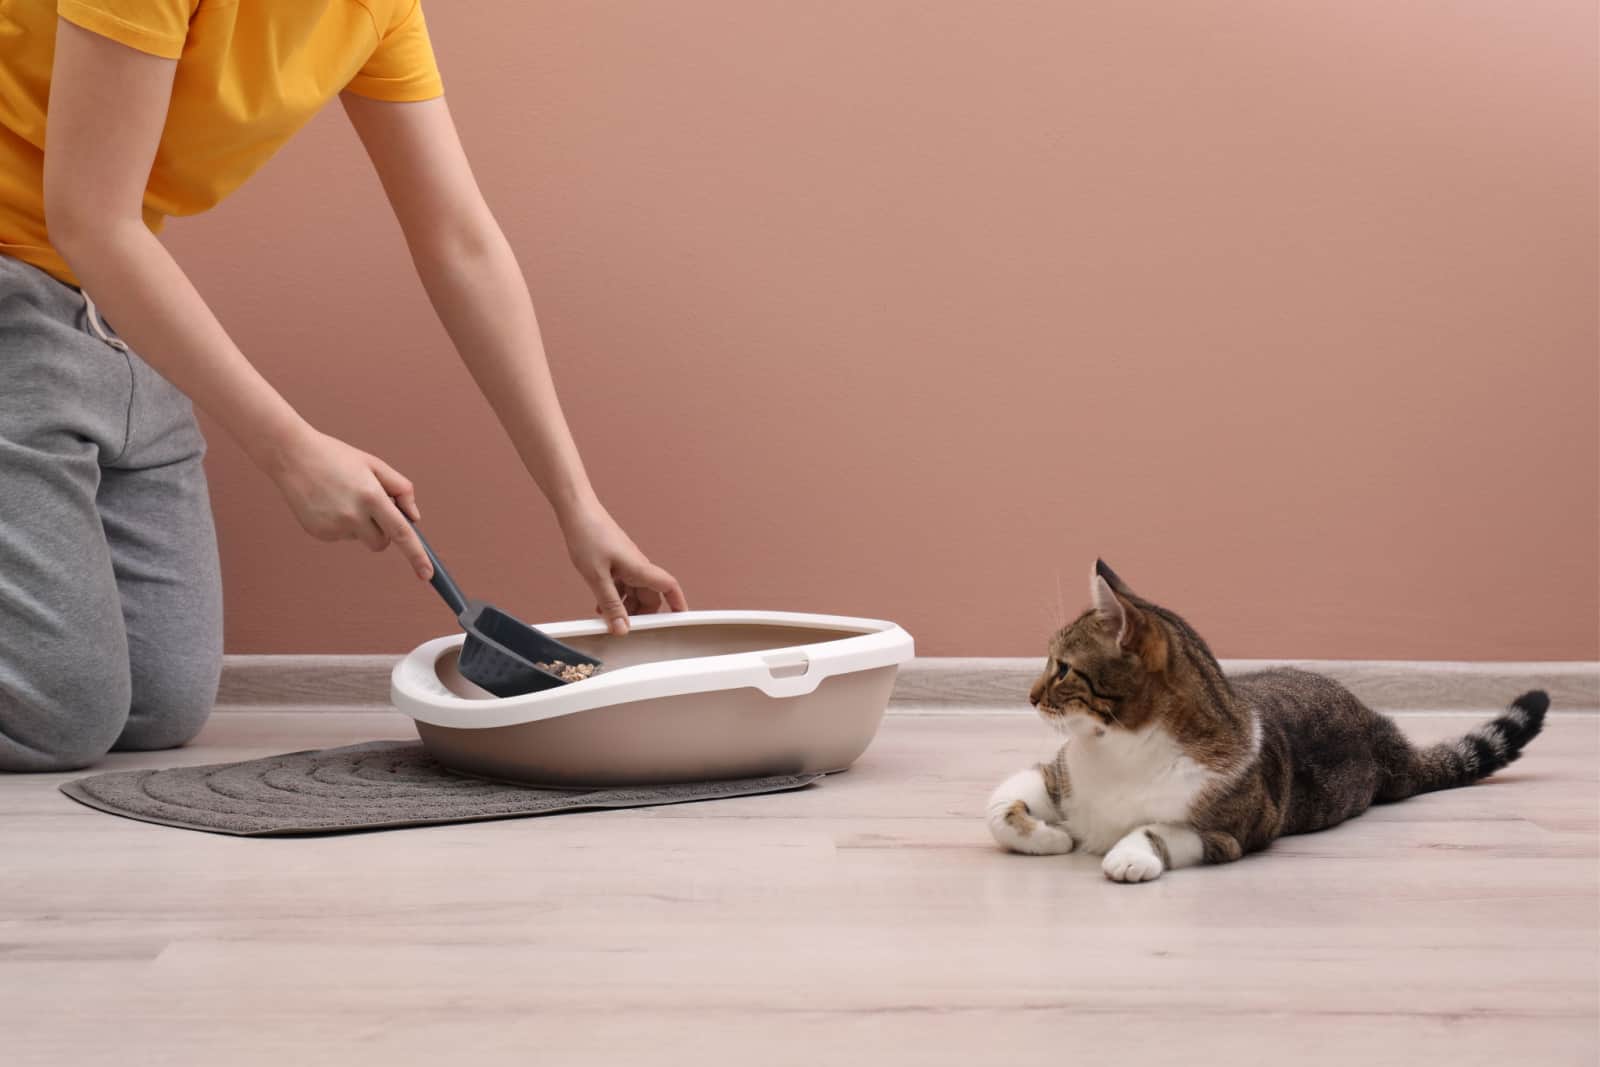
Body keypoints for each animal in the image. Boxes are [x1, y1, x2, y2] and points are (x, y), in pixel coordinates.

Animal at [985, 563, 1548, 883]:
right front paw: (1051, 836)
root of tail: (1384, 735)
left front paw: (1129, 855)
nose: (1030, 697)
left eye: (1062, 668)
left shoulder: (1232, 831)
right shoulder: (1056, 773)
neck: (1119, 750)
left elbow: (1159, 829)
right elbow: (996, 807)